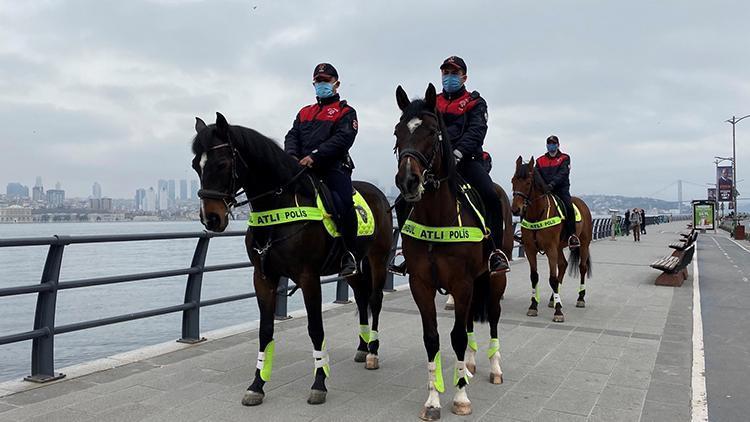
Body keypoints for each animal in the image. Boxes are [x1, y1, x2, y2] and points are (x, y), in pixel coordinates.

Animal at [192, 112, 394, 406]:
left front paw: (319, 382)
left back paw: (373, 351)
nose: (211, 218)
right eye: (196, 165)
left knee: (375, 300)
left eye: (222, 163)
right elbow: (265, 330)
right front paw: (257, 384)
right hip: (354, 267)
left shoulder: (308, 278)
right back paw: (361, 346)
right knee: (361, 297)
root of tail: (380, 194)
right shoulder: (263, 277)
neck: (280, 205)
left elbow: (316, 329)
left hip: (377, 259)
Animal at [394, 84, 506, 420]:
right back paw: (467, 366)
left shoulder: (462, 282)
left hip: (493, 279)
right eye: (397, 133)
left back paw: (494, 368)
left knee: (493, 317)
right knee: (468, 321)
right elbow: (432, 338)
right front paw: (433, 400)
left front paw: (460, 397)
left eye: (432, 132)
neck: (437, 215)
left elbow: (455, 336)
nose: (408, 181)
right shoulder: (421, 283)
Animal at [512, 157, 592, 322]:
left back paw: (580, 298)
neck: (537, 214)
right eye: (513, 181)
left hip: (583, 244)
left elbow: (552, 279)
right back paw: (552, 298)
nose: (515, 209)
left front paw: (558, 311)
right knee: (563, 265)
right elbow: (534, 277)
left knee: (582, 267)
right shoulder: (530, 249)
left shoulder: (550, 249)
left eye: (528, 182)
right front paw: (533, 306)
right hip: (559, 247)